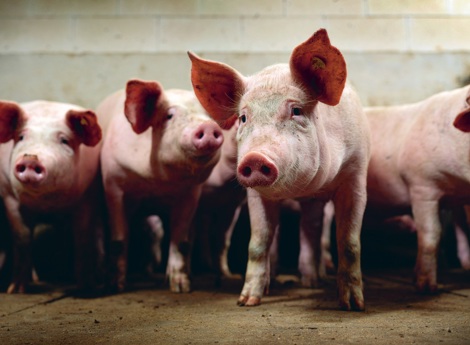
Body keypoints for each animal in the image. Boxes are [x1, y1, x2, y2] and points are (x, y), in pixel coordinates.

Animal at [0, 98, 103, 292]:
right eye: (21, 137)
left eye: (64, 140)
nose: (30, 158)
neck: (47, 205)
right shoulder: (9, 196)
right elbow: (22, 237)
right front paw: (16, 290)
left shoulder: (88, 194)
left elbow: (82, 236)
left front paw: (86, 287)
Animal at [97, 79, 224, 292]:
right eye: (169, 115)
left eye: (209, 115)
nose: (207, 126)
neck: (157, 183)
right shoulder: (113, 184)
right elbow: (119, 239)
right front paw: (115, 286)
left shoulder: (190, 192)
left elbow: (180, 241)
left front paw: (181, 287)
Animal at [188, 28, 370, 310]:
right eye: (243, 117)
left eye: (296, 110)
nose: (254, 158)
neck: (301, 189)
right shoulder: (254, 194)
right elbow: (258, 242)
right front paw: (247, 301)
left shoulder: (356, 175)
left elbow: (349, 242)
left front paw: (352, 305)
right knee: (302, 231)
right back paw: (283, 283)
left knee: (312, 232)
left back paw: (313, 282)